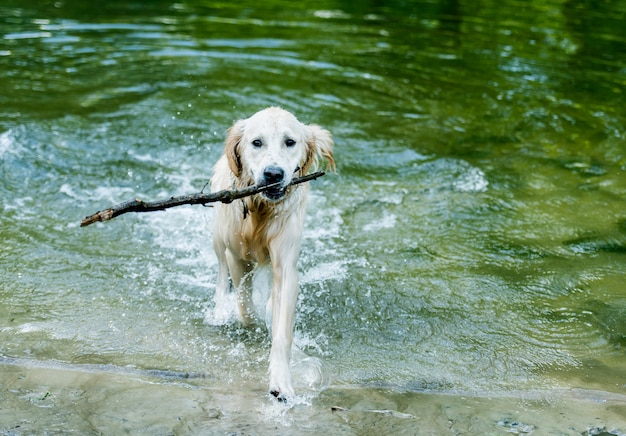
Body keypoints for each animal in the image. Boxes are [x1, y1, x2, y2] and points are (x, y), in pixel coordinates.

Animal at [210, 107, 334, 400]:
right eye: (257, 142)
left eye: (290, 142)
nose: (274, 174)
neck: (261, 209)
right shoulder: (236, 256)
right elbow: (245, 306)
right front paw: (251, 322)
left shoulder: (285, 264)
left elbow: (281, 329)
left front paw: (282, 381)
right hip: (219, 237)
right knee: (221, 273)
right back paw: (220, 312)